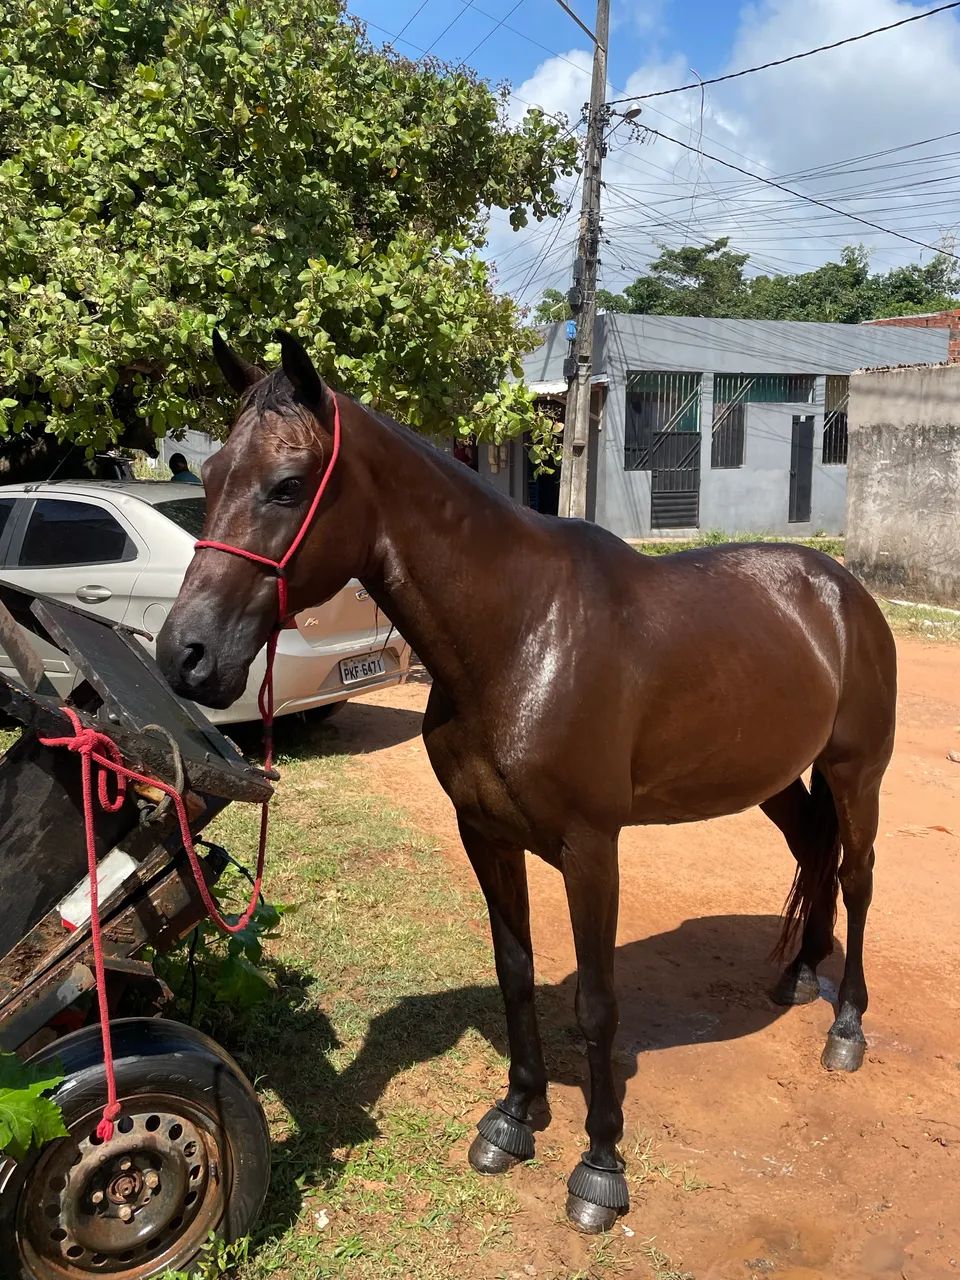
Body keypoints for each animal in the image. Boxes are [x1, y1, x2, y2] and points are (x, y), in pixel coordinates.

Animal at [157, 332, 897, 1233]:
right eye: (211, 475)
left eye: (288, 485)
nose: (185, 655)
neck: (521, 635)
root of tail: (841, 589)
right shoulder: (485, 834)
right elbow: (515, 973)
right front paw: (514, 1120)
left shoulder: (591, 850)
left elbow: (597, 1005)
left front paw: (600, 1167)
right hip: (777, 778)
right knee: (815, 852)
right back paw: (797, 974)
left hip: (857, 773)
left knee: (857, 877)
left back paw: (847, 1026)